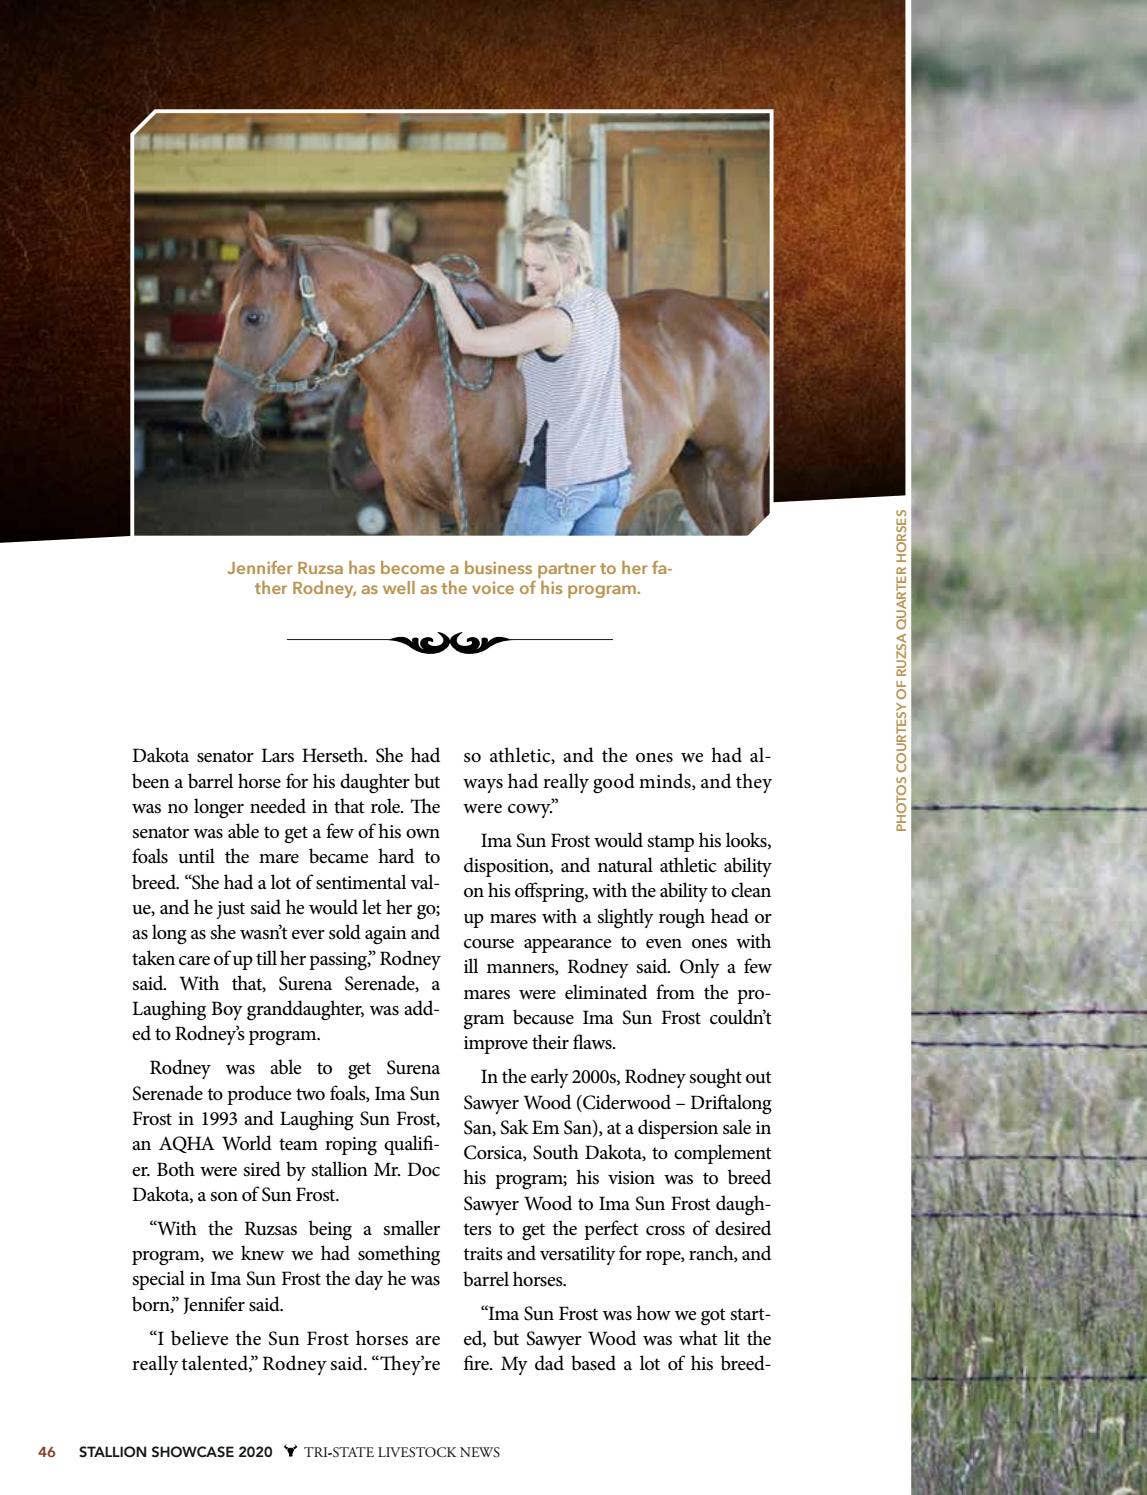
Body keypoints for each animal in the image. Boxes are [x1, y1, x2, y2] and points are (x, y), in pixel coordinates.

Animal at [203, 213, 770, 535]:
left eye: (252, 315)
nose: (215, 414)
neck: (424, 372)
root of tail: (735, 314)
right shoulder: (409, 507)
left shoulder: (475, 506)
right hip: (695, 470)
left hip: (737, 474)